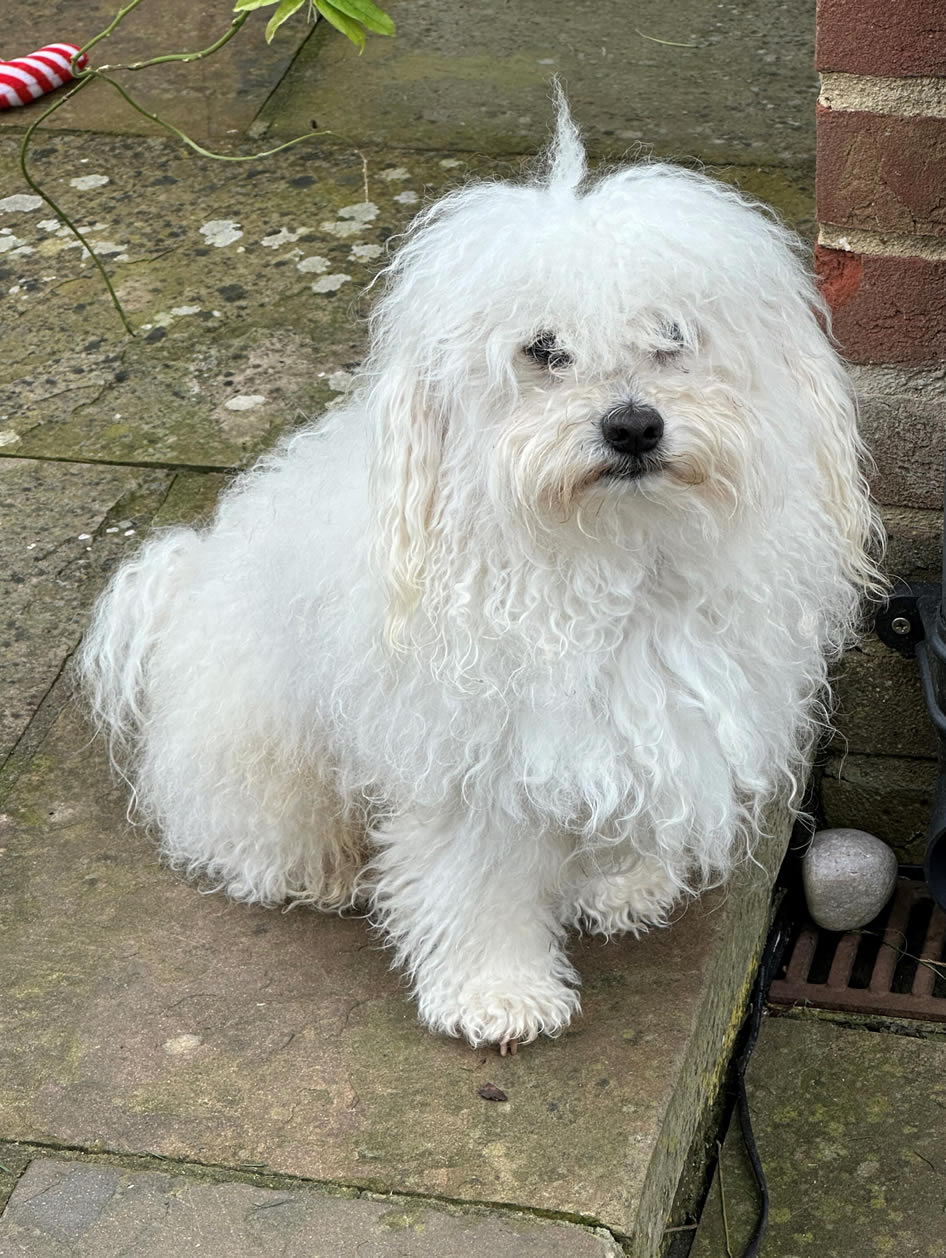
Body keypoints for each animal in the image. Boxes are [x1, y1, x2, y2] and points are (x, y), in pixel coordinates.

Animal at [77, 100, 885, 1051]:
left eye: (672, 336)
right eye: (543, 350)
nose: (633, 426)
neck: (609, 556)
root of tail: (184, 586)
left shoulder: (638, 722)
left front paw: (622, 881)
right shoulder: (471, 757)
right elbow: (479, 882)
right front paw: (496, 992)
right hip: (263, 745)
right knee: (245, 830)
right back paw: (322, 870)